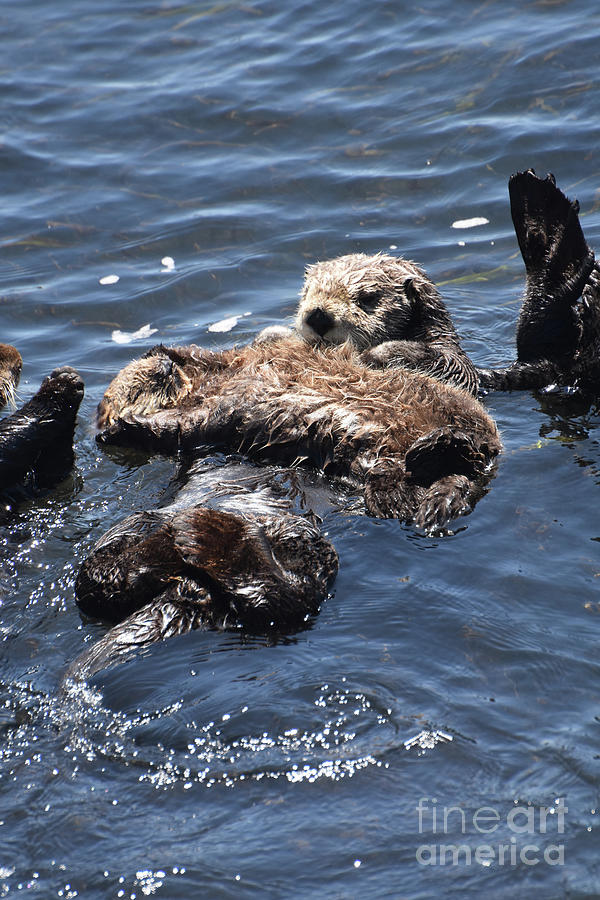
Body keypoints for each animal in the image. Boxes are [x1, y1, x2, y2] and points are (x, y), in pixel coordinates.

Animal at [68, 169, 600, 680]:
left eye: (367, 298)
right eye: (308, 293)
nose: (318, 315)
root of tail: (187, 581)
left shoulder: (456, 366)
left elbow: (439, 361)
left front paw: (382, 354)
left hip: (342, 522)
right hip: (155, 538)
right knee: (117, 580)